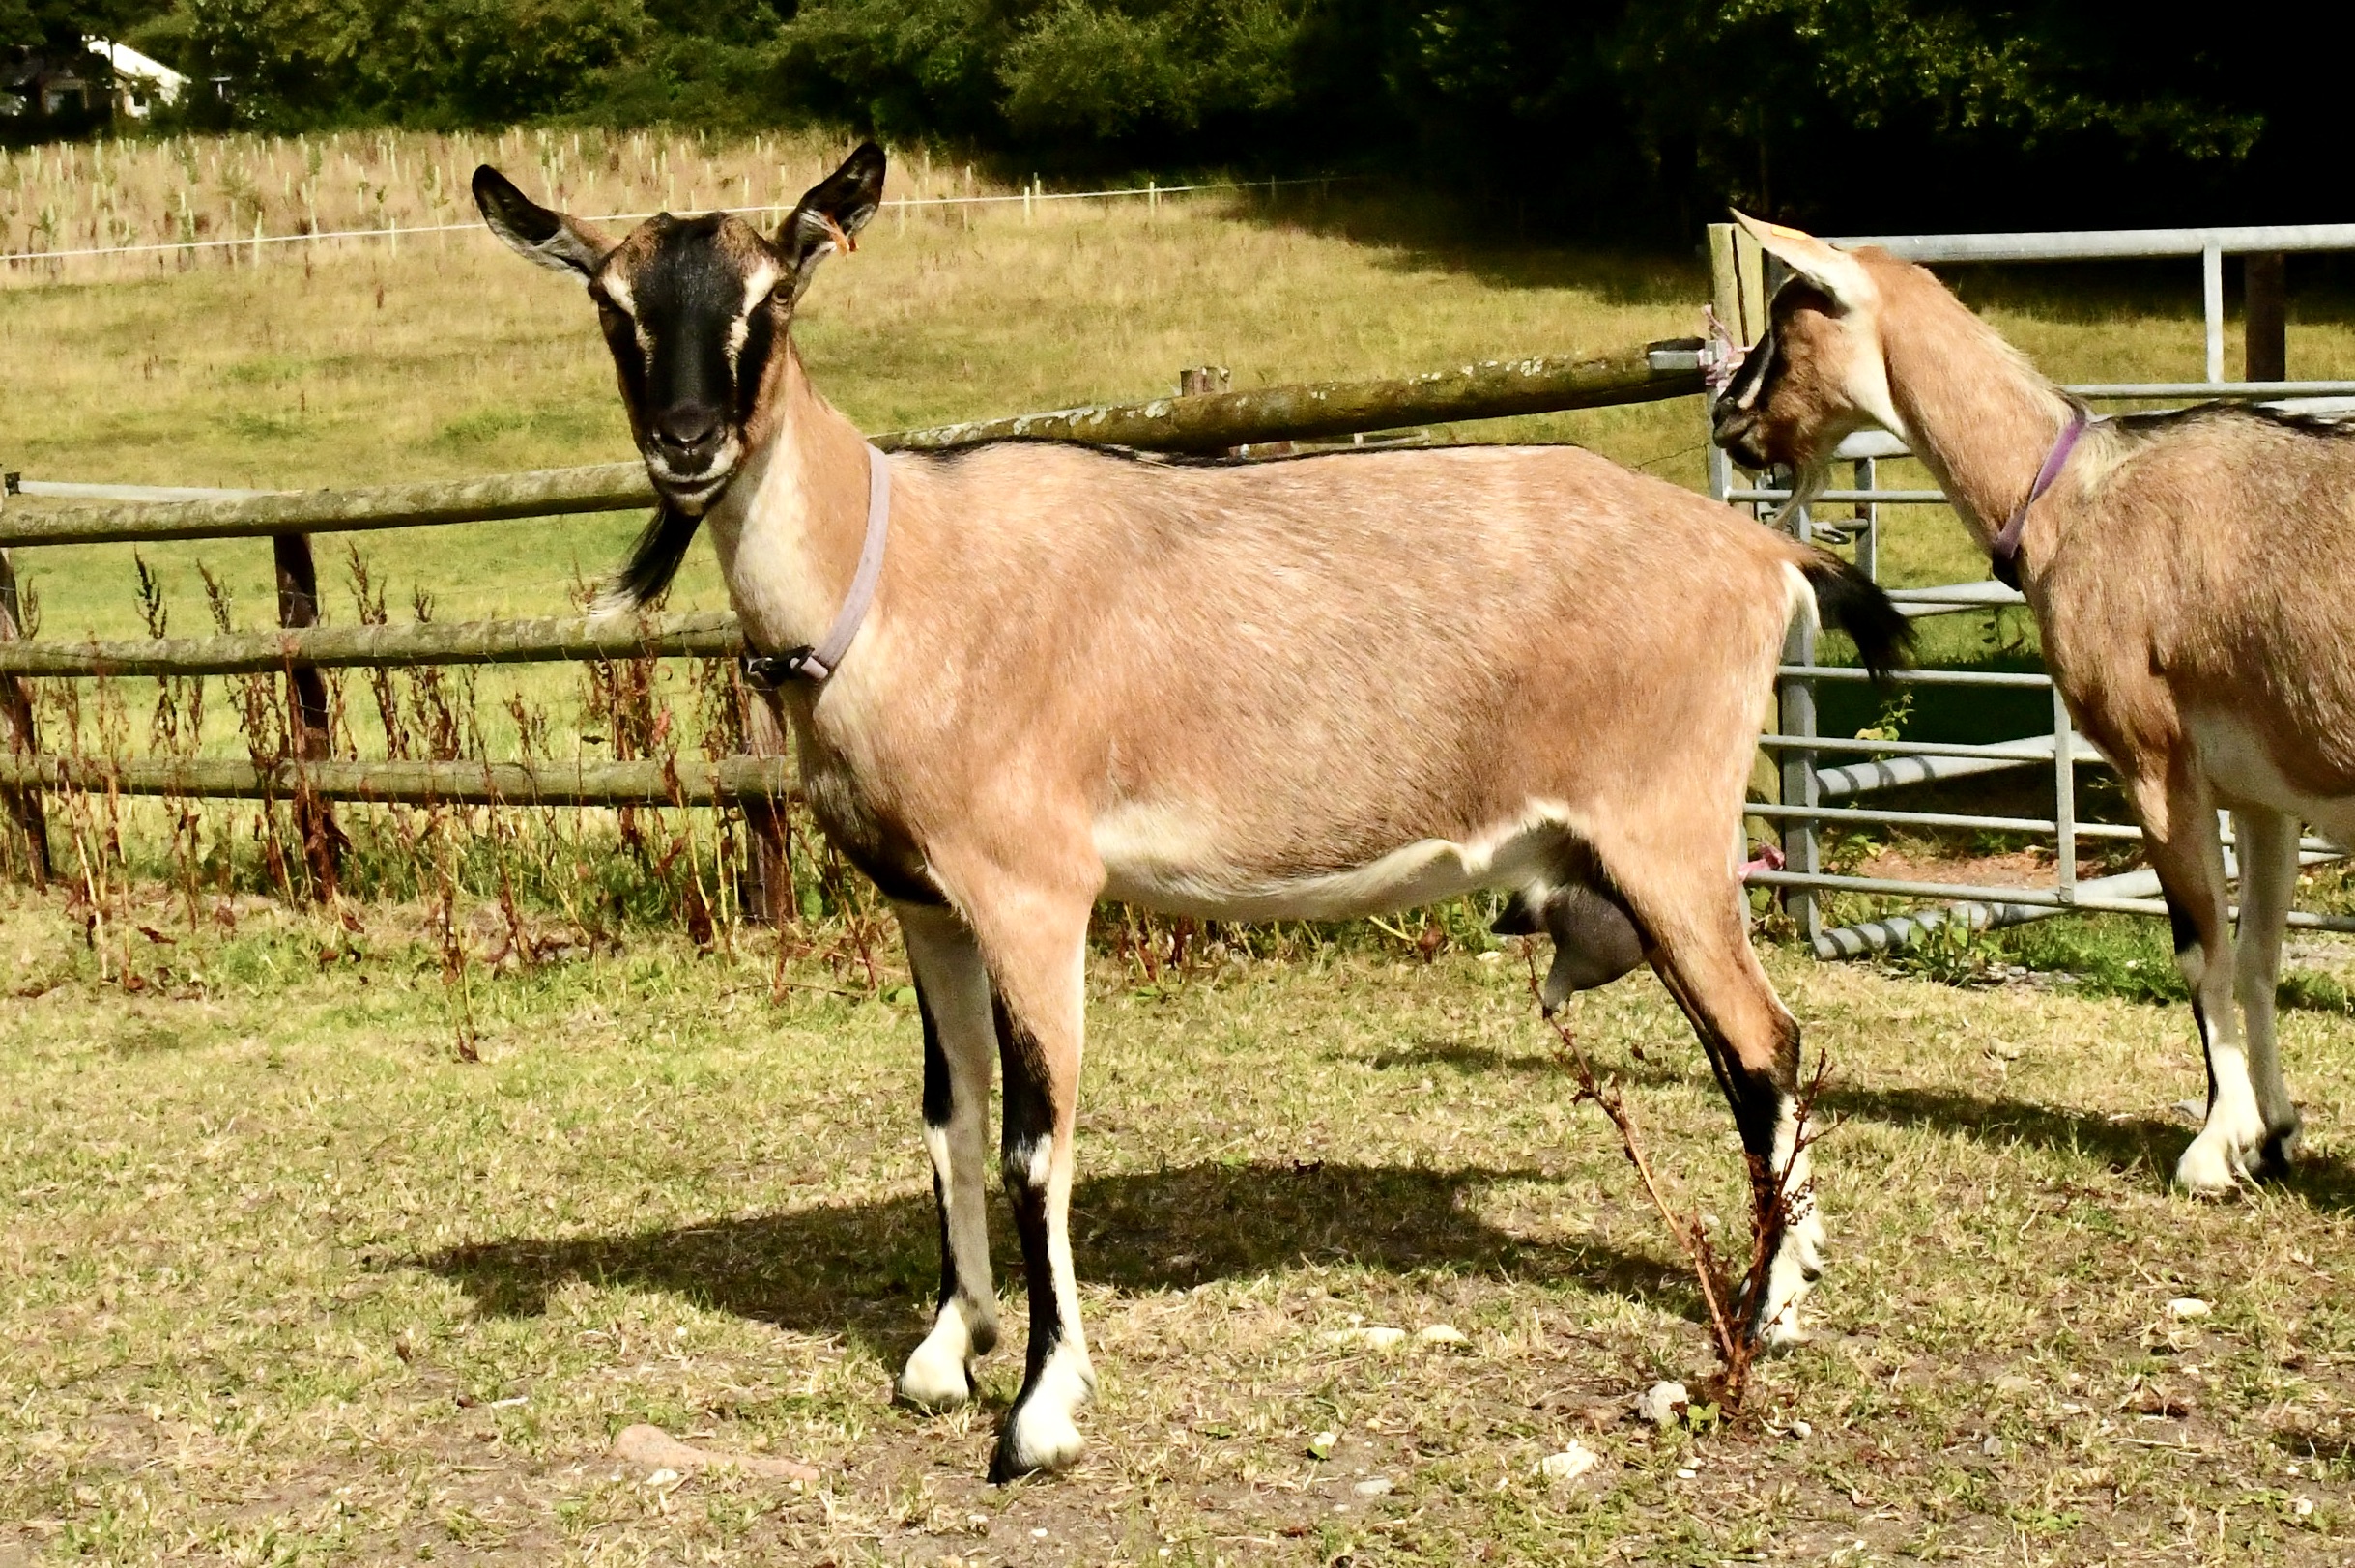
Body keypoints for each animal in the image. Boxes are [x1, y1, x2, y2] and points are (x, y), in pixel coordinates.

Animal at [474, 148, 1912, 1480]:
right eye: (611, 303)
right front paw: (944, 1350)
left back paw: (1764, 1315)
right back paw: (1794, 1282)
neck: (893, 578)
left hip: (1665, 829)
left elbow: (1032, 1141)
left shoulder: (1032, 890)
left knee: (1761, 1045)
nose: (686, 441)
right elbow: (947, 1116)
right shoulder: (923, 901)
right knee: (1761, 1045)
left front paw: (1038, 1413)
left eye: (772, 297)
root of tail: (1763, 552)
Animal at [1712, 211, 2350, 1196]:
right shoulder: (2262, 788)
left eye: (1788, 321)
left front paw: (2210, 1149)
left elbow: (2199, 948)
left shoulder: (2154, 759)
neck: (2069, 499)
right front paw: (2273, 1136)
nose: (1724, 417)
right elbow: (2256, 955)